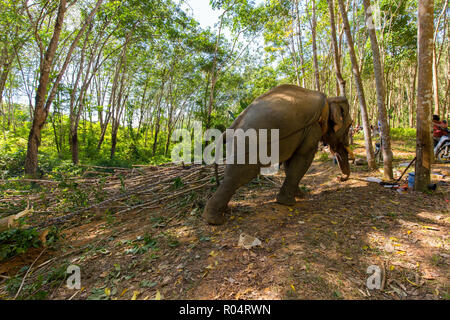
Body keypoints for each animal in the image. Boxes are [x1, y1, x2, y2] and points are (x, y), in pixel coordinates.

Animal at [204, 85, 356, 225]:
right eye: (350, 125)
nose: (339, 178)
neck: (329, 102)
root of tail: (231, 127)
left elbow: (291, 162)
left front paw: (300, 195)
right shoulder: (313, 129)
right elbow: (303, 158)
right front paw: (288, 202)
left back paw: (221, 213)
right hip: (249, 144)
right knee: (238, 175)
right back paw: (215, 220)